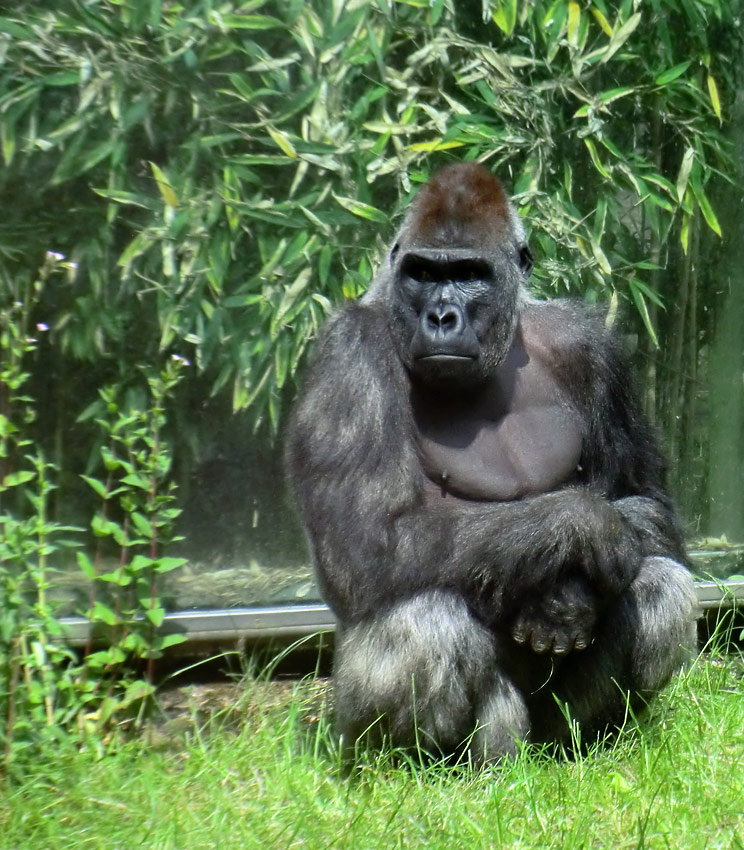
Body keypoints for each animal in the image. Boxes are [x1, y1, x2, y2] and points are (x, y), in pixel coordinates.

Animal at [284, 162, 696, 760]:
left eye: (470, 273)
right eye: (422, 273)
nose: (441, 315)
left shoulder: (590, 344)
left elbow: (643, 499)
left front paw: (568, 595)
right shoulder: (348, 354)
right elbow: (368, 542)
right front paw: (584, 526)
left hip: (550, 735)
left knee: (661, 583)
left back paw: (588, 743)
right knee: (425, 617)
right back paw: (423, 766)